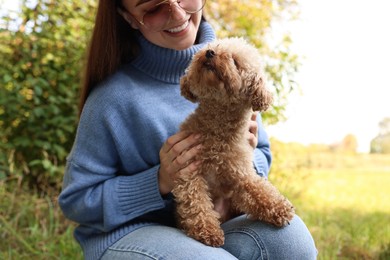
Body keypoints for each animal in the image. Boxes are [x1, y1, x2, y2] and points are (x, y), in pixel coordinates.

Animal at [172, 36, 294, 246]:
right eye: (211, 47)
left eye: (235, 61)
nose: (209, 53)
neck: (217, 131)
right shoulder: (188, 170)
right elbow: (196, 202)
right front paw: (208, 230)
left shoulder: (239, 173)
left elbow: (258, 188)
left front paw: (279, 207)